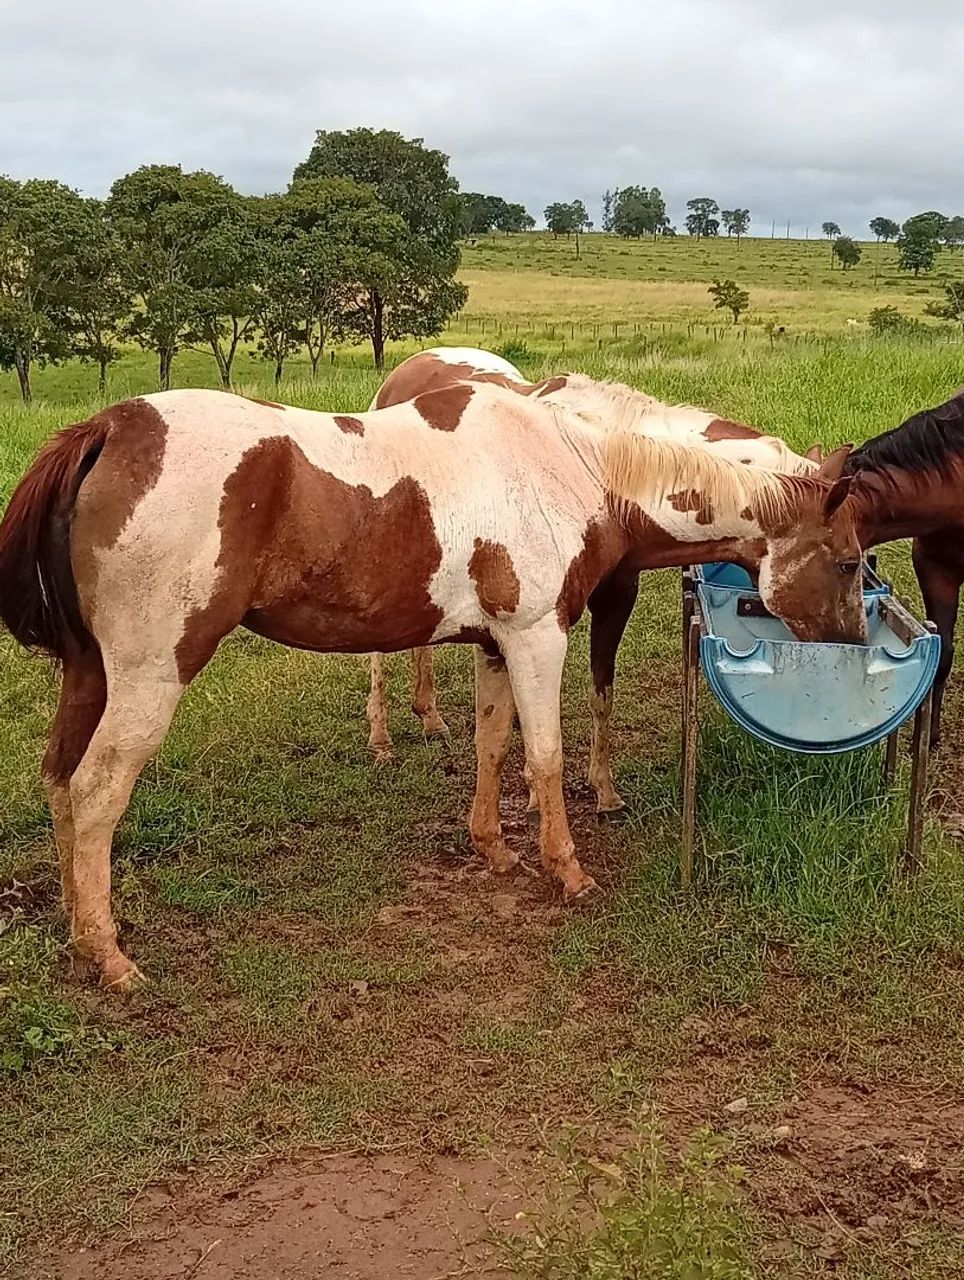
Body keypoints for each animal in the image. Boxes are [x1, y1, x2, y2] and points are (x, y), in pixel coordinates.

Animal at [368, 346, 845, 818]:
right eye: (847, 561)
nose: (842, 636)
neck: (602, 464)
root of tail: (413, 364)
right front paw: (534, 791)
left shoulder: (616, 597)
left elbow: (602, 691)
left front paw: (604, 789)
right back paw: (381, 736)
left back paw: (430, 716)